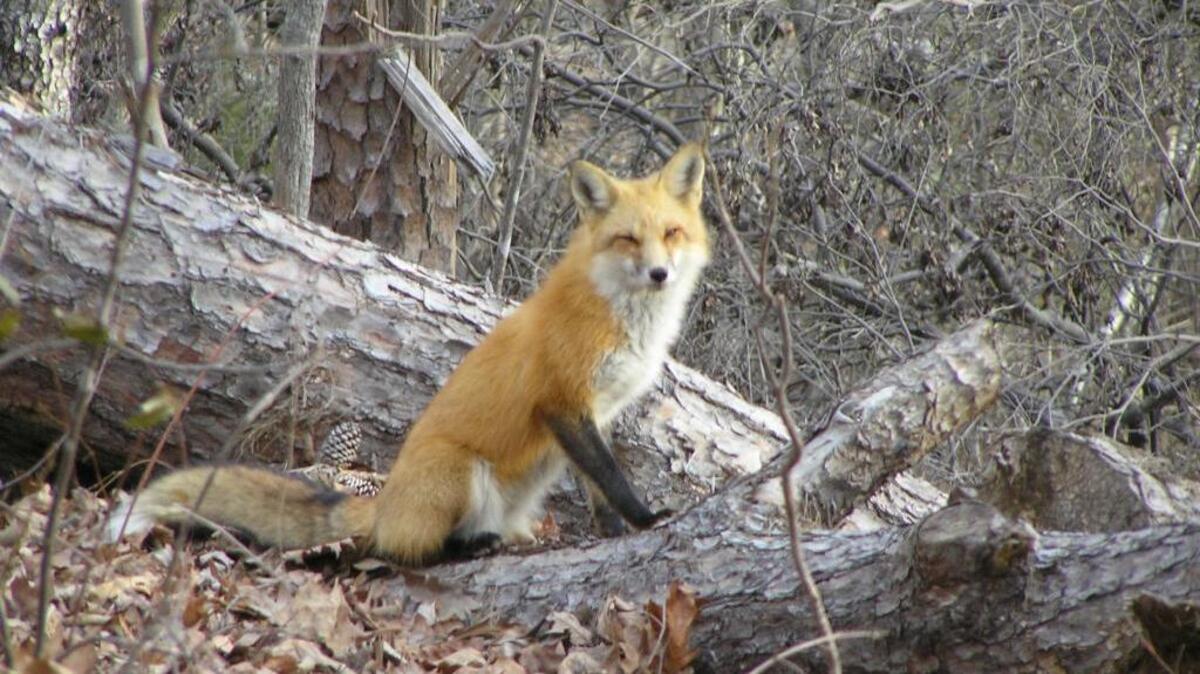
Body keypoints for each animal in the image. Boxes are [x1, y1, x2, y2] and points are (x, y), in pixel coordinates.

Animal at [107, 143, 710, 564]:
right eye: (628, 239)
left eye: (671, 233)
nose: (660, 274)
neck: (620, 314)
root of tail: (384, 499)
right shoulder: (563, 401)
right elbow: (612, 477)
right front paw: (645, 518)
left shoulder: (595, 413)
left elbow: (598, 486)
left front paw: (614, 531)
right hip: (461, 472)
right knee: (403, 550)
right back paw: (466, 545)